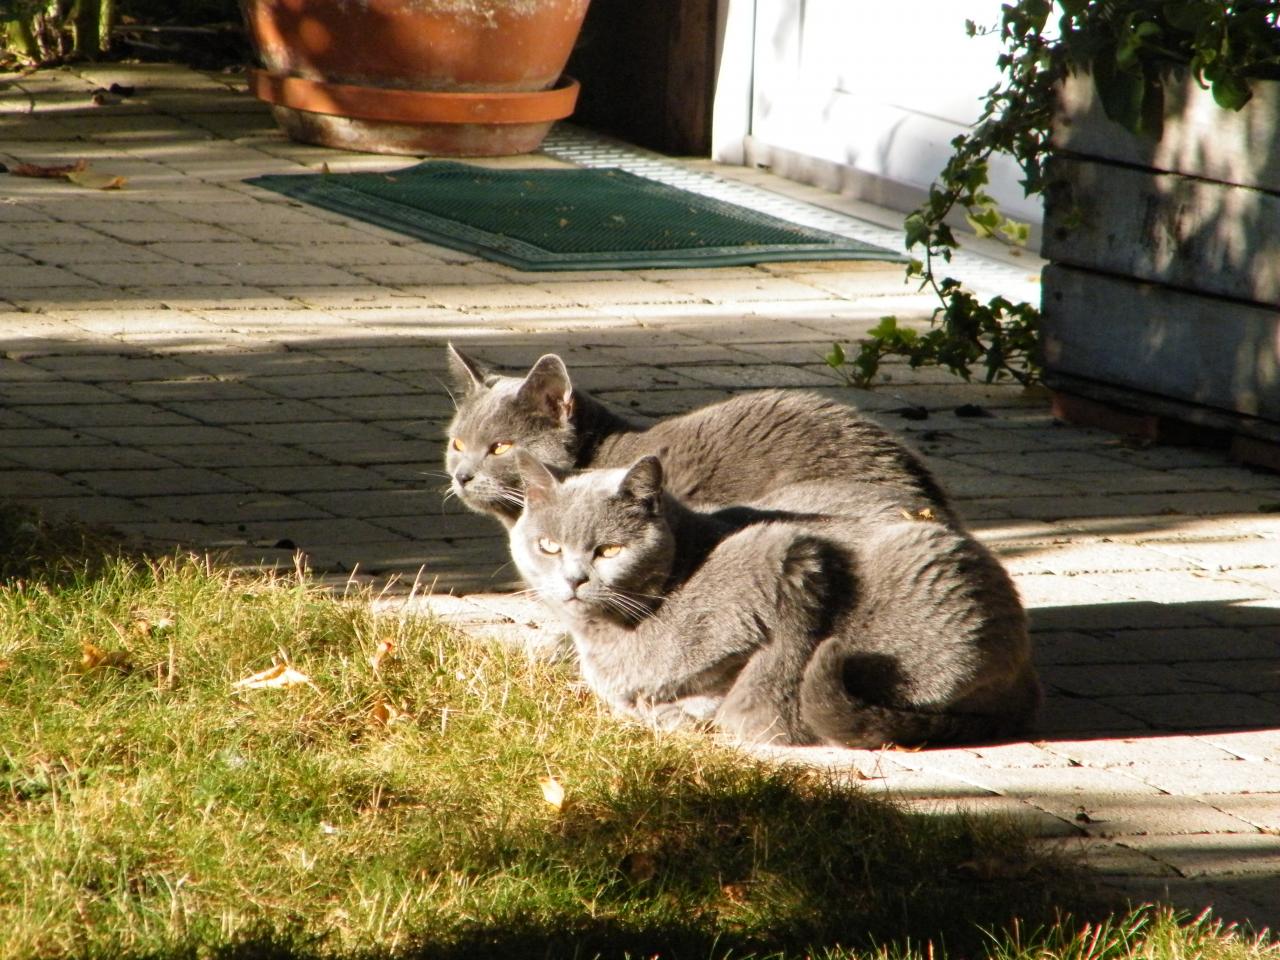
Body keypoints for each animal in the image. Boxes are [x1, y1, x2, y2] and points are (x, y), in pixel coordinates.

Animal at [504, 453, 1034, 752]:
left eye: (609, 551)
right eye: (548, 546)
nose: (574, 579)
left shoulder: (789, 557)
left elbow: (773, 664)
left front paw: (708, 715)